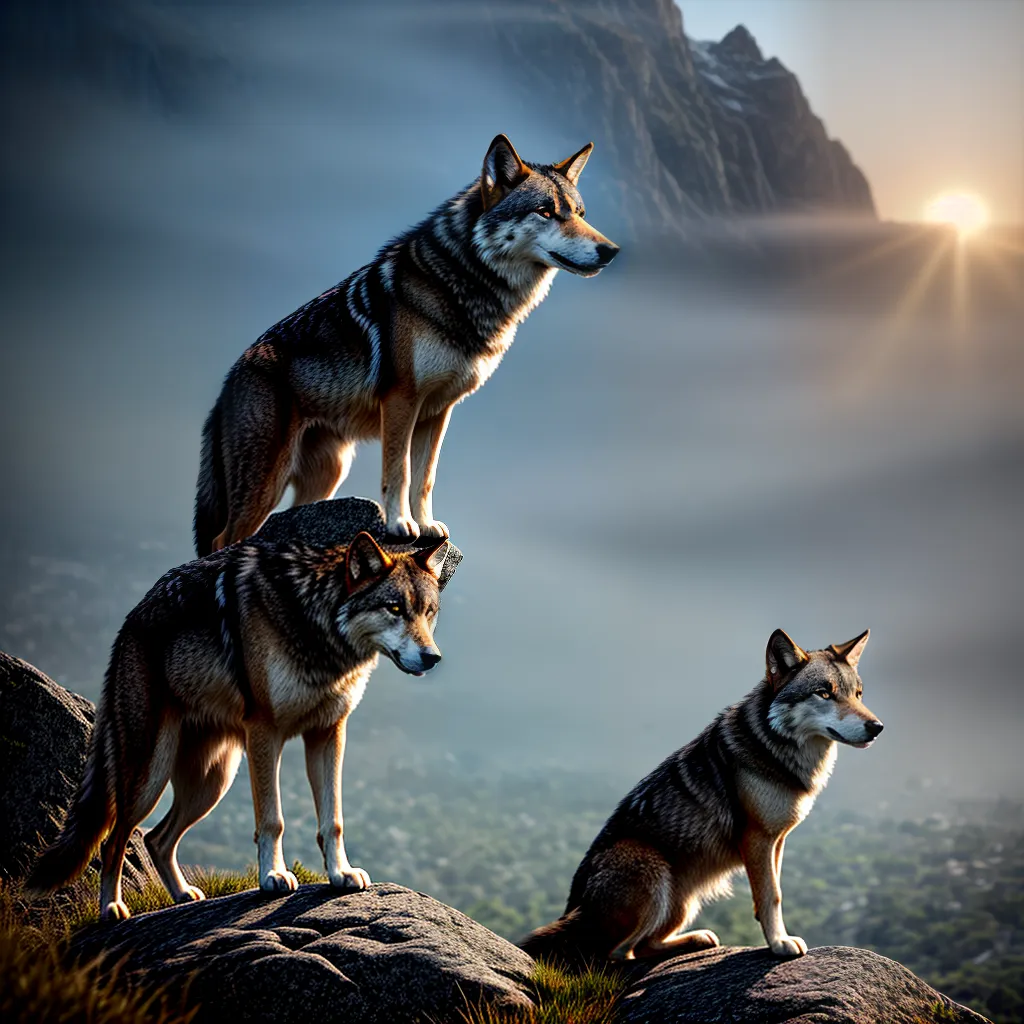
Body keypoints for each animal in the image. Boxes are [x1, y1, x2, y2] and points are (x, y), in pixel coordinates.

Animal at [27, 503, 456, 922]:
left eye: (429, 612)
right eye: (395, 608)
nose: (432, 657)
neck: (316, 627)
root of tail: (127, 628)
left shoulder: (328, 733)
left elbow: (332, 819)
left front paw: (340, 874)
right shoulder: (266, 733)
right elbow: (272, 818)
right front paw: (273, 877)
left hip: (212, 782)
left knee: (156, 838)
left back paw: (183, 895)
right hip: (151, 775)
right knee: (114, 839)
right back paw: (112, 909)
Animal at [194, 133, 619, 555]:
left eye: (580, 212)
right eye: (546, 212)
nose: (611, 251)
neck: (467, 286)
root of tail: (227, 383)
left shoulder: (439, 410)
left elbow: (425, 476)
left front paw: (426, 524)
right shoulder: (401, 398)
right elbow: (398, 470)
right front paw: (400, 525)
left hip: (327, 474)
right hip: (268, 481)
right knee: (222, 539)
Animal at [520, 629, 883, 964]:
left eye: (858, 694)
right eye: (824, 693)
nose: (877, 727)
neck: (780, 751)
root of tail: (574, 910)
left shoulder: (778, 840)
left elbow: (775, 891)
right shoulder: (758, 839)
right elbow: (771, 897)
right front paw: (780, 943)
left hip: (684, 902)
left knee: (644, 946)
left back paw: (699, 940)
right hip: (649, 865)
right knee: (617, 954)